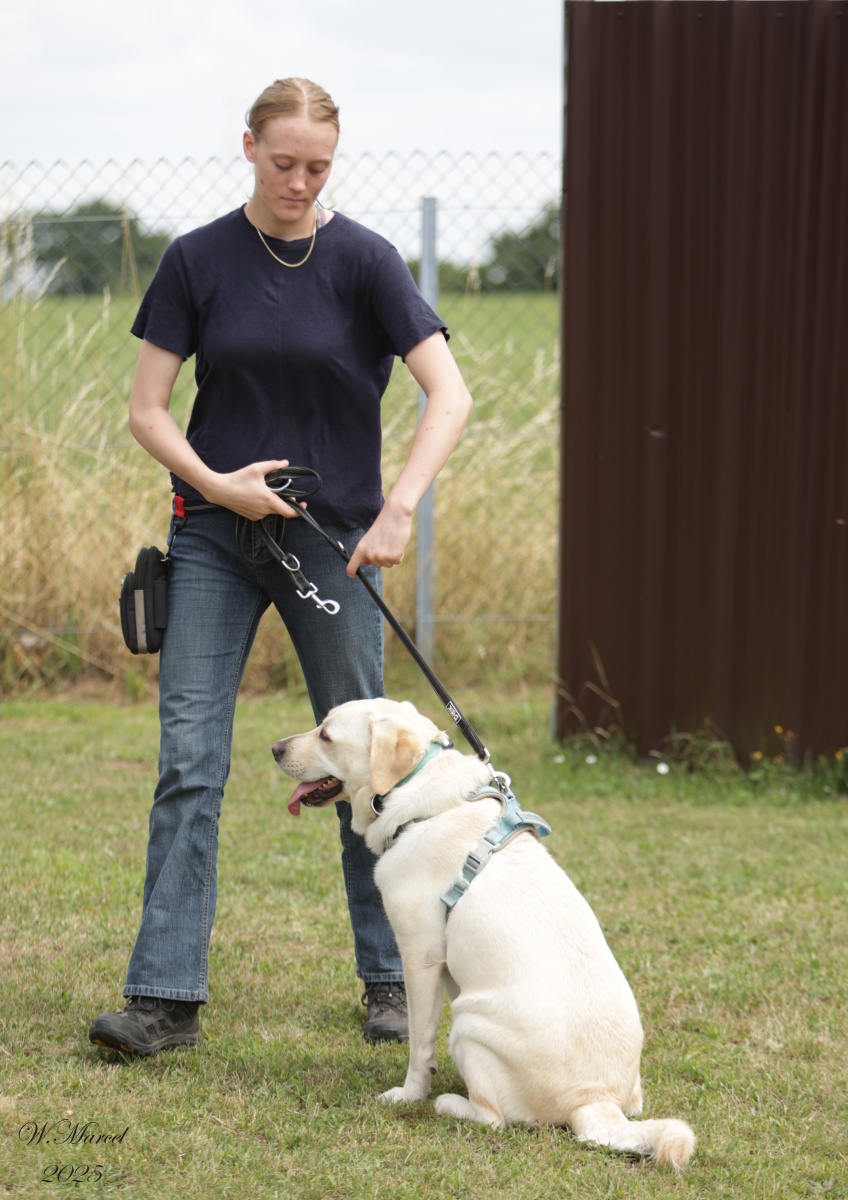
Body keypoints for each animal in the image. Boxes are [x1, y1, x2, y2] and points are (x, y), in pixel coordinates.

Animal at [273, 698, 695, 1169]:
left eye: (326, 735)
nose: (275, 748)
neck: (417, 796)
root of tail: (596, 1102)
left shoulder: (419, 957)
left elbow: (419, 1044)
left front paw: (408, 1094)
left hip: (467, 1024)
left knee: (494, 1118)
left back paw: (449, 1102)